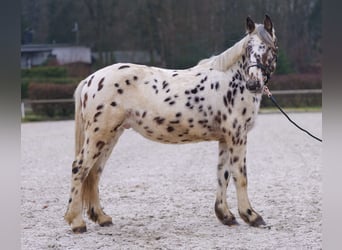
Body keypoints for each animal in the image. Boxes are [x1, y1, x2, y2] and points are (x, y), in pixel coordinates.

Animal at [64, 14, 278, 233]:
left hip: (111, 136)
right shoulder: (237, 135)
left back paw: (101, 217)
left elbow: (223, 175)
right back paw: (77, 222)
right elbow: (240, 176)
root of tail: (90, 79)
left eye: (269, 48)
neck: (232, 80)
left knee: (94, 173)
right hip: (99, 135)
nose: (253, 84)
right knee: (79, 168)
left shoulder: (226, 138)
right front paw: (252, 216)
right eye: (248, 49)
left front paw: (226, 215)